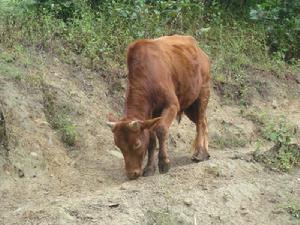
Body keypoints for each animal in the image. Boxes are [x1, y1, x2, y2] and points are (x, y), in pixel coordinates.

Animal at [106, 34, 210, 179]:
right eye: (118, 145)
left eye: (136, 144)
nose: (132, 173)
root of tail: (198, 49)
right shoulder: (150, 114)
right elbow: (151, 139)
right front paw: (149, 167)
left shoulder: (172, 104)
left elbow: (161, 129)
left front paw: (164, 163)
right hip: (190, 104)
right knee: (204, 121)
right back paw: (205, 152)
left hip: (203, 92)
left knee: (200, 122)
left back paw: (200, 153)